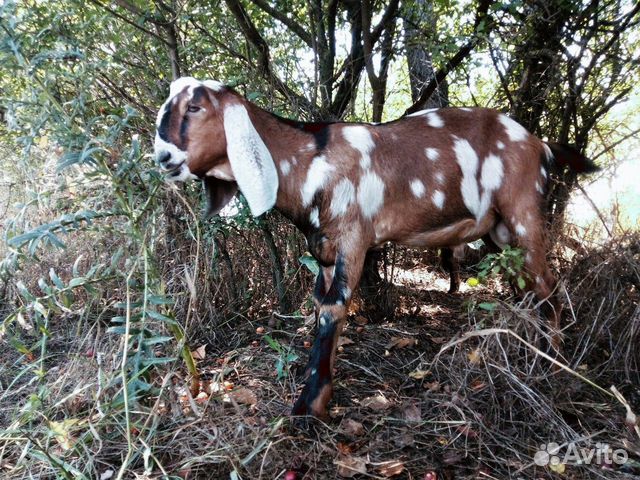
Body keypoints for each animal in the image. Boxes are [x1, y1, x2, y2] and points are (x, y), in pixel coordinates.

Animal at [152, 77, 596, 418]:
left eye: (195, 107)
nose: (163, 157)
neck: (311, 160)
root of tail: (540, 143)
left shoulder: (353, 237)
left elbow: (334, 308)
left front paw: (308, 409)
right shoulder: (322, 247)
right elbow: (321, 306)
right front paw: (322, 393)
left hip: (523, 212)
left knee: (548, 289)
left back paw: (556, 370)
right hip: (500, 232)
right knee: (528, 291)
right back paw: (532, 357)